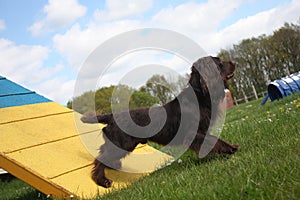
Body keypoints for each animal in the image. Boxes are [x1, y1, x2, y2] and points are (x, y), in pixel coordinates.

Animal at [80, 55, 239, 188]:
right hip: (121, 143)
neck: (199, 96)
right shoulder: (194, 133)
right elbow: (215, 140)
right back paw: (103, 181)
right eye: (219, 63)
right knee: (100, 160)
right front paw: (230, 149)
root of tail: (112, 116)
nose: (234, 62)